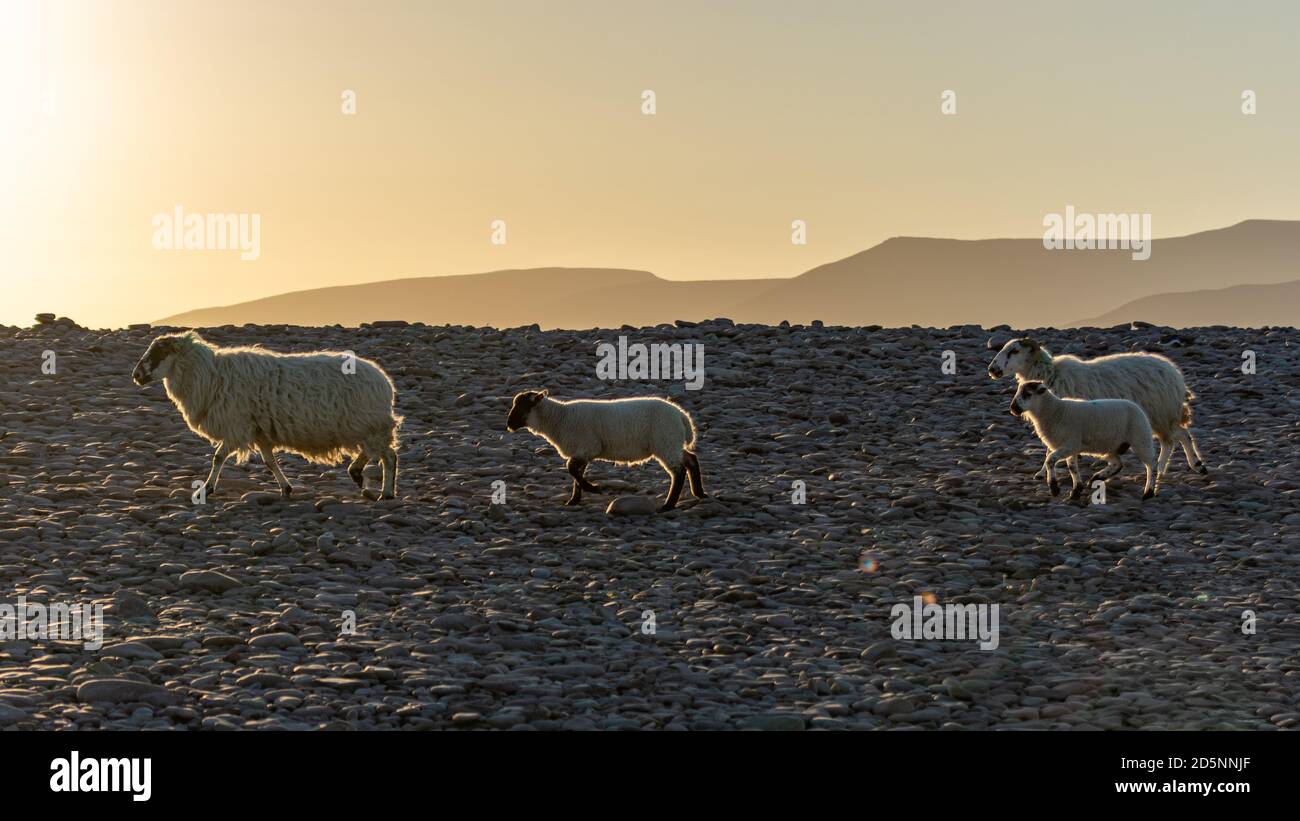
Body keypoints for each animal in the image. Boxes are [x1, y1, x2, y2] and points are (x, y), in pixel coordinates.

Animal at [133, 332, 400, 501]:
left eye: (158, 352)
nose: (136, 375)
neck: (209, 375)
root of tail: (385, 382)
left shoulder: (236, 426)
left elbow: (218, 457)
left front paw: (207, 489)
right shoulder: (259, 431)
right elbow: (270, 462)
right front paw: (286, 488)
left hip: (369, 423)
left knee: (388, 456)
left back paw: (385, 492)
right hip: (363, 425)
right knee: (372, 452)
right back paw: (357, 474)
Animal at [506, 389, 712, 509]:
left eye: (522, 405)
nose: (508, 425)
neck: (559, 418)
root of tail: (682, 416)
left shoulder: (587, 446)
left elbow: (571, 469)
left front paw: (593, 489)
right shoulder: (583, 450)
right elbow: (576, 473)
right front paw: (574, 500)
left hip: (665, 441)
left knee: (679, 471)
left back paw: (669, 505)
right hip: (672, 443)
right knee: (691, 459)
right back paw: (699, 493)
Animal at [987, 337, 1201, 480]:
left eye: (1014, 351)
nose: (992, 369)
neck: (1050, 375)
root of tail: (1175, 373)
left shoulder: (1061, 419)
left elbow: (1050, 449)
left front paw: (1041, 473)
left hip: (1161, 413)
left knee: (1175, 438)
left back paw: (1179, 466)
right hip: (1159, 416)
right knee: (1176, 437)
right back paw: (1179, 467)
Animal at [1003, 379, 1159, 501]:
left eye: (1028, 394)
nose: (1013, 408)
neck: (1055, 411)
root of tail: (1138, 408)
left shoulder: (1069, 445)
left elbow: (1050, 460)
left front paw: (1054, 488)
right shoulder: (1070, 447)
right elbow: (1072, 468)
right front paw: (1076, 491)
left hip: (1141, 438)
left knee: (1151, 464)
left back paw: (1148, 492)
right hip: (1110, 446)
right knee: (1117, 464)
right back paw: (1097, 478)